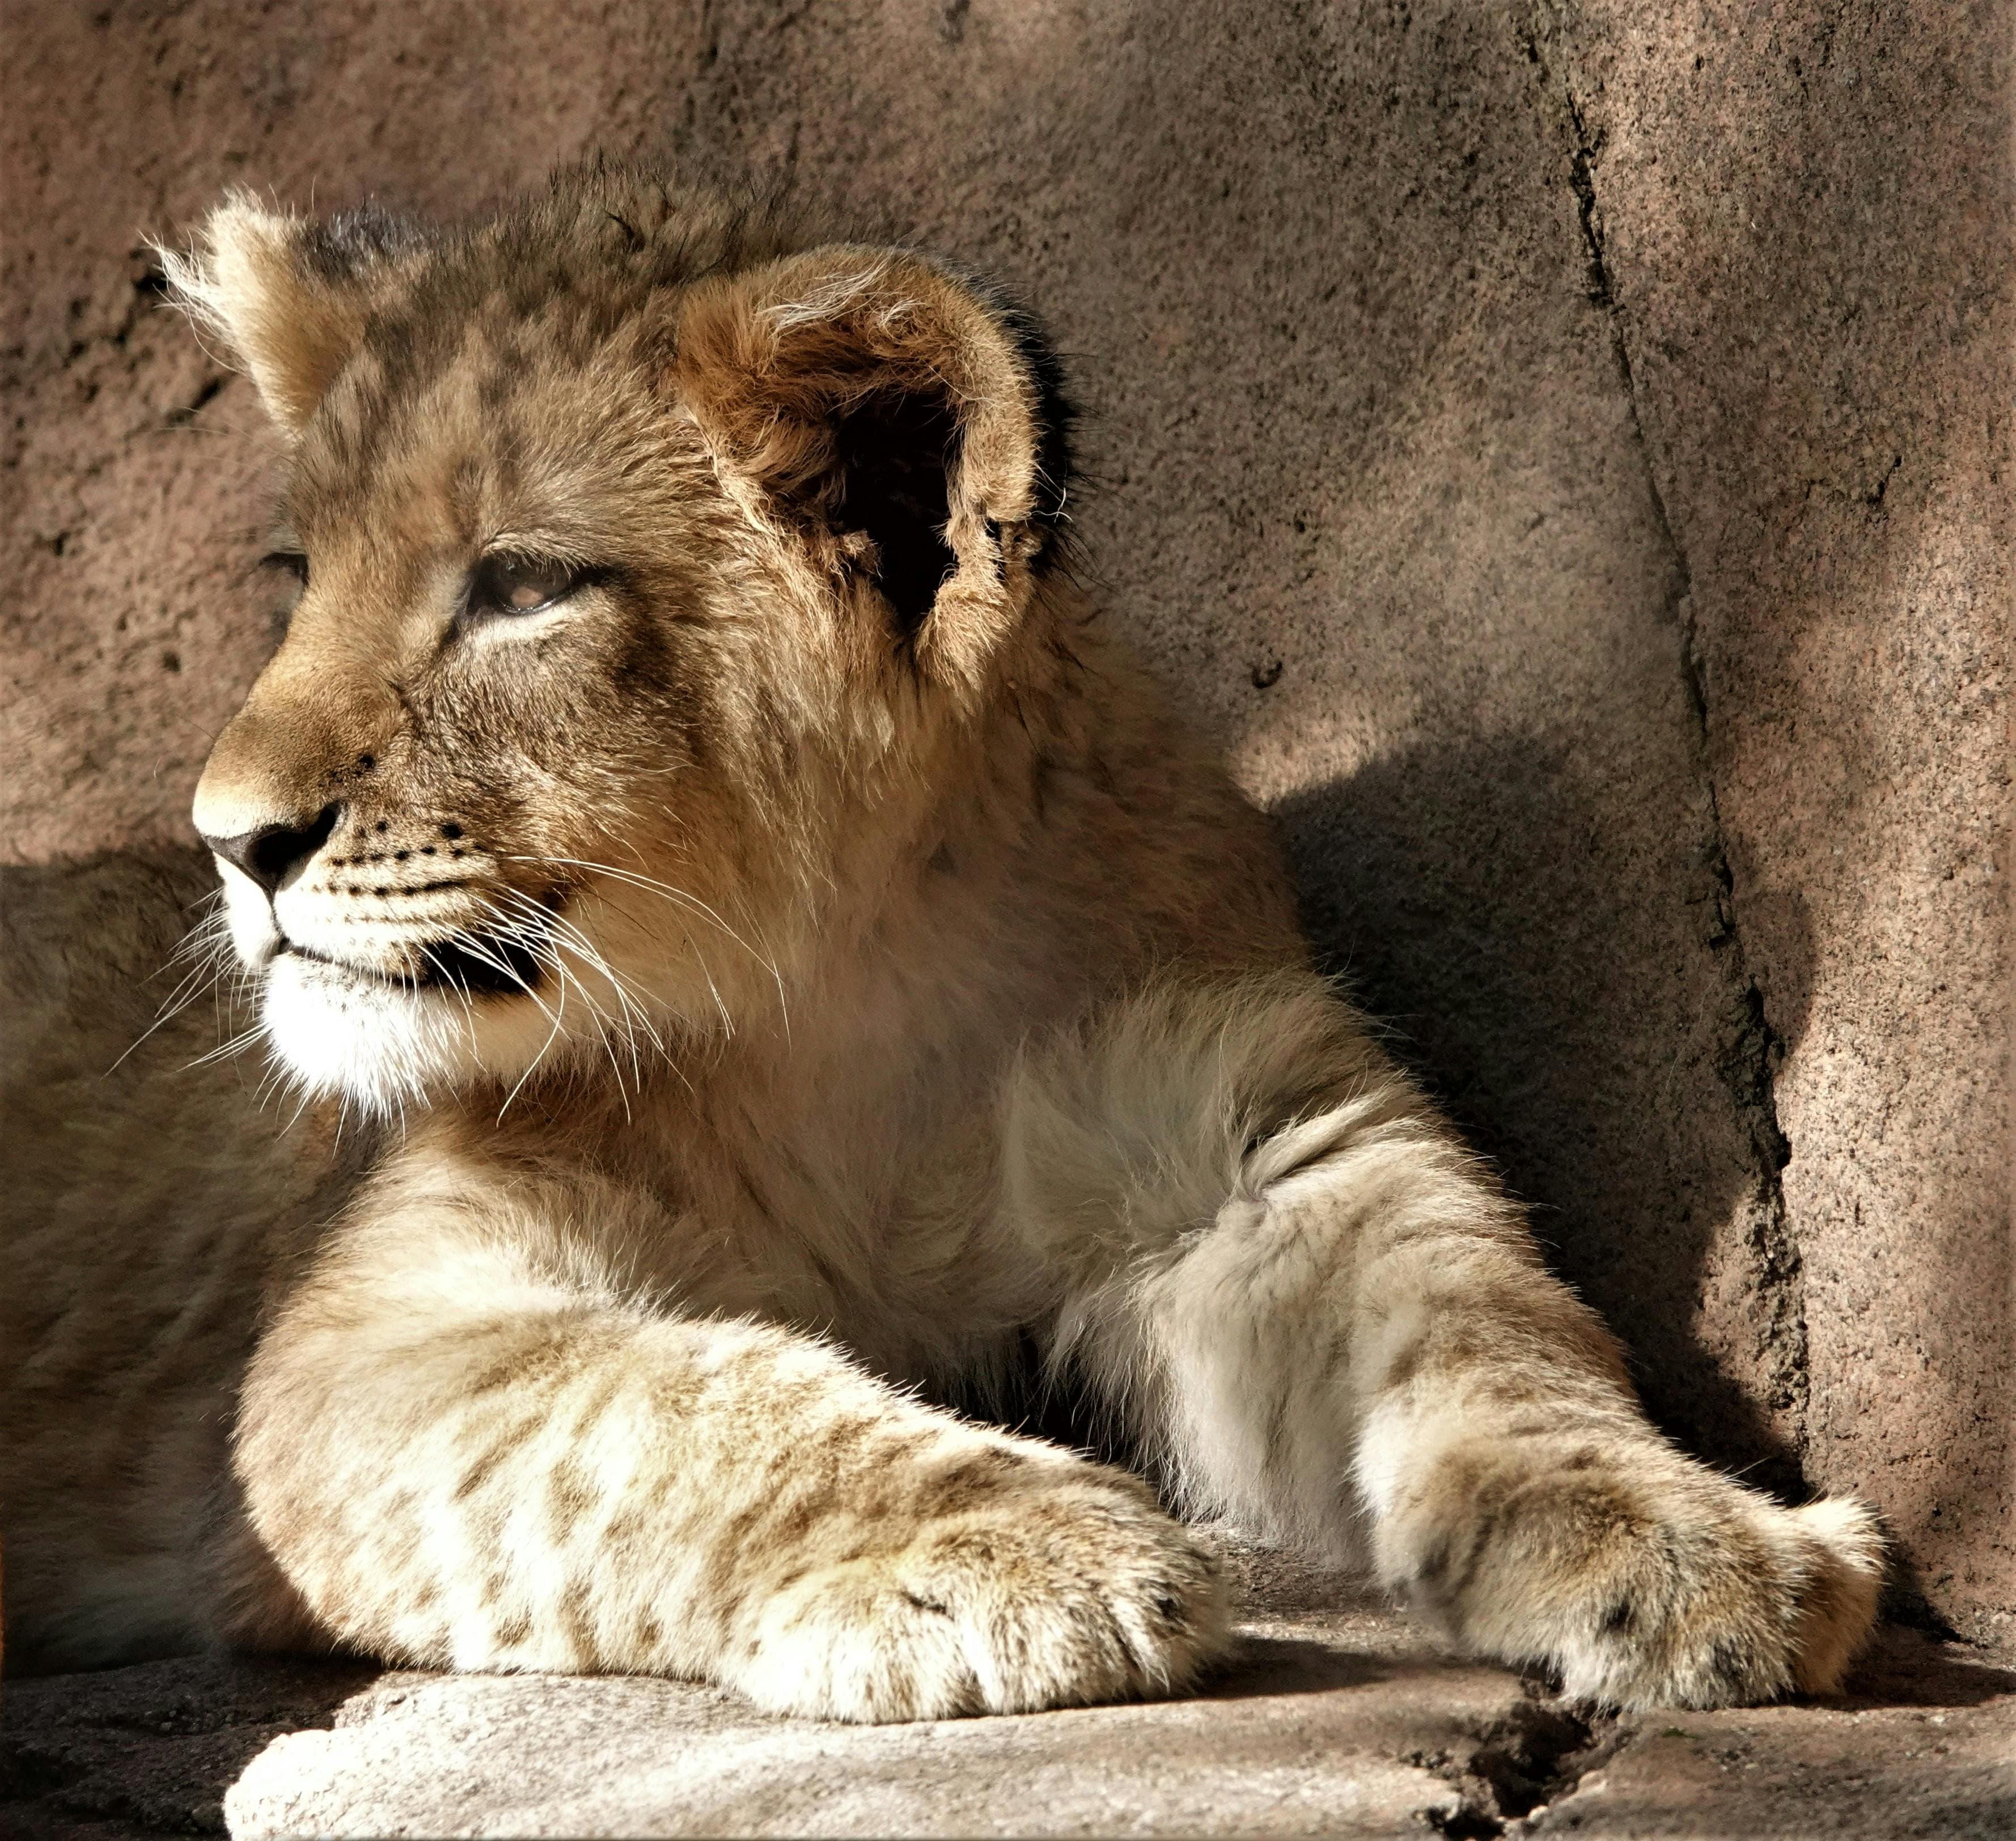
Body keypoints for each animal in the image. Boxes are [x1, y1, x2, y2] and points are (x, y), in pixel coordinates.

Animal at [0, 164, 1882, 1718]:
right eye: (295, 578)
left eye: (523, 586)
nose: (232, 839)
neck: (852, 990)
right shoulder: (366, 1334)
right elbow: (665, 1409)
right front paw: (1010, 1546)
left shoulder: (1253, 1150)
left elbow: (1483, 1322)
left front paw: (1693, 1540)